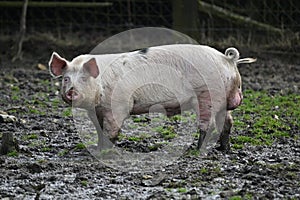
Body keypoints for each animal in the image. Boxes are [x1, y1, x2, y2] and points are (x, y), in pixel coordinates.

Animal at [48, 44, 255, 152]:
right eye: (66, 78)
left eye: (84, 78)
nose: (71, 91)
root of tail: (227, 59)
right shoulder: (95, 111)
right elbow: (99, 130)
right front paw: (98, 147)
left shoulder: (119, 105)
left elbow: (111, 130)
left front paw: (105, 151)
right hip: (222, 100)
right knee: (227, 122)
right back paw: (223, 149)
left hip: (207, 95)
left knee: (209, 124)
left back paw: (197, 150)